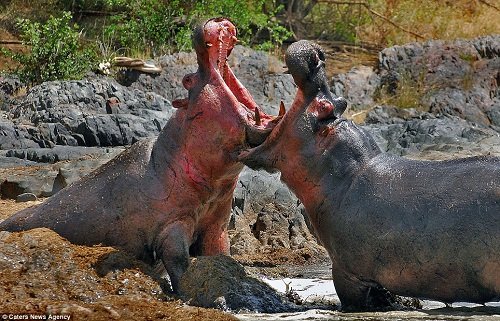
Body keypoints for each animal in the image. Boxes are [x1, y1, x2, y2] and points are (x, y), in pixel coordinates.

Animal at [0, 18, 280, 292]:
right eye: (187, 80)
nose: (213, 21)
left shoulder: (216, 225)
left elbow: (220, 256)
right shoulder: (172, 228)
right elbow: (179, 263)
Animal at [239, 40, 500, 310]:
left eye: (325, 106)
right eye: (342, 102)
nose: (317, 58)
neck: (345, 177)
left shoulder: (347, 272)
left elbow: (352, 299)